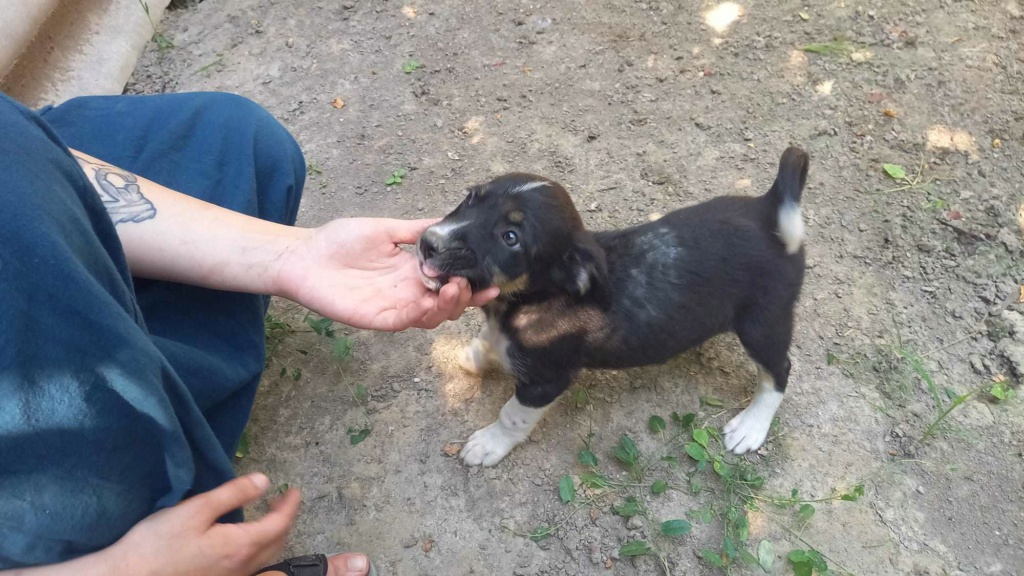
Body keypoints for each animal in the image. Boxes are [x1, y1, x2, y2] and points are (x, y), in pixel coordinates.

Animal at [415, 145, 806, 463]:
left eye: (510, 237)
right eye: (471, 198)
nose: (428, 243)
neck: (535, 299)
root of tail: (769, 216)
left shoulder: (546, 379)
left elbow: (512, 415)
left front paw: (489, 445)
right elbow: (488, 342)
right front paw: (474, 354)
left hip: (762, 323)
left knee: (779, 371)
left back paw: (751, 426)